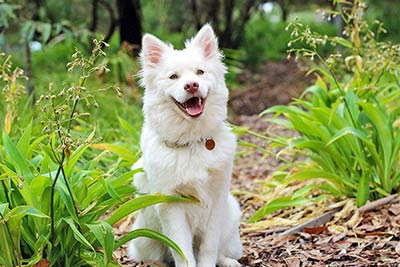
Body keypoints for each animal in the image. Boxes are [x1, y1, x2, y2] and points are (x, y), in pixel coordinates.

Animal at [128, 24, 242, 267]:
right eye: (173, 77)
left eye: (200, 72)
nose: (191, 86)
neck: (192, 142)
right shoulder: (172, 206)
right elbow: (182, 251)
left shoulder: (216, 201)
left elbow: (209, 247)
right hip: (144, 237)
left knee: (221, 250)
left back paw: (227, 261)